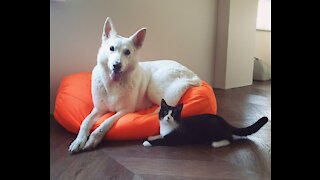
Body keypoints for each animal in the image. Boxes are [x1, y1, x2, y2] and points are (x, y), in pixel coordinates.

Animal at [69, 17, 201, 153]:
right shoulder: (98, 109)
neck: (113, 85)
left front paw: (93, 139)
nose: (117, 65)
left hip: (153, 87)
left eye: (127, 52)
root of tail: (192, 74)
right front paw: (78, 141)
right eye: (111, 48)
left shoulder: (125, 110)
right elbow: (85, 122)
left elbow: (105, 123)